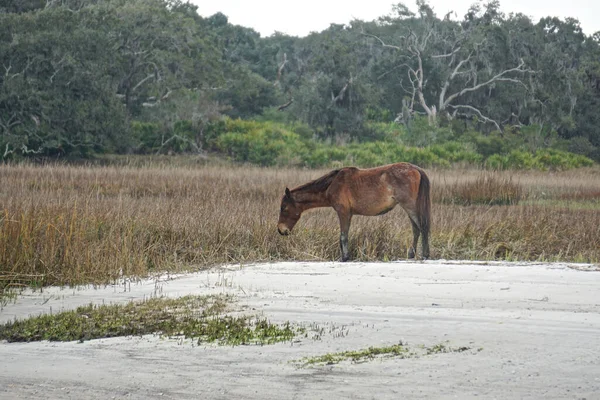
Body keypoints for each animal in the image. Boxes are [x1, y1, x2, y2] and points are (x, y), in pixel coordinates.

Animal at [278, 162, 428, 262]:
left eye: (284, 208)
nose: (281, 230)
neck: (332, 184)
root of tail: (415, 168)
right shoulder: (348, 214)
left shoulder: (343, 213)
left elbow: (343, 236)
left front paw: (344, 257)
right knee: (416, 229)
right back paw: (412, 254)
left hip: (410, 207)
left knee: (421, 228)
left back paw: (424, 255)